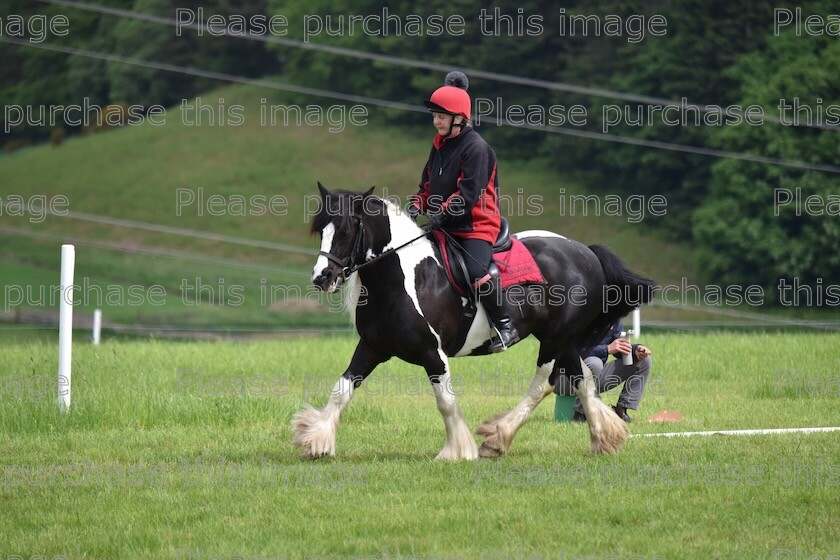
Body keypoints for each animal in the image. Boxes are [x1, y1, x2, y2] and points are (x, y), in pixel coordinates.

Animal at [292, 184, 660, 460]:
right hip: (564, 339)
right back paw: (603, 437)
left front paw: (457, 451)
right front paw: (317, 441)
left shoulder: (432, 353)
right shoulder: (372, 347)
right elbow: (341, 390)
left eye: (347, 229)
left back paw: (499, 437)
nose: (322, 277)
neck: (400, 279)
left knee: (543, 383)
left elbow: (445, 401)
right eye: (321, 229)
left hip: (554, 339)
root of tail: (586, 252)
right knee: (582, 379)